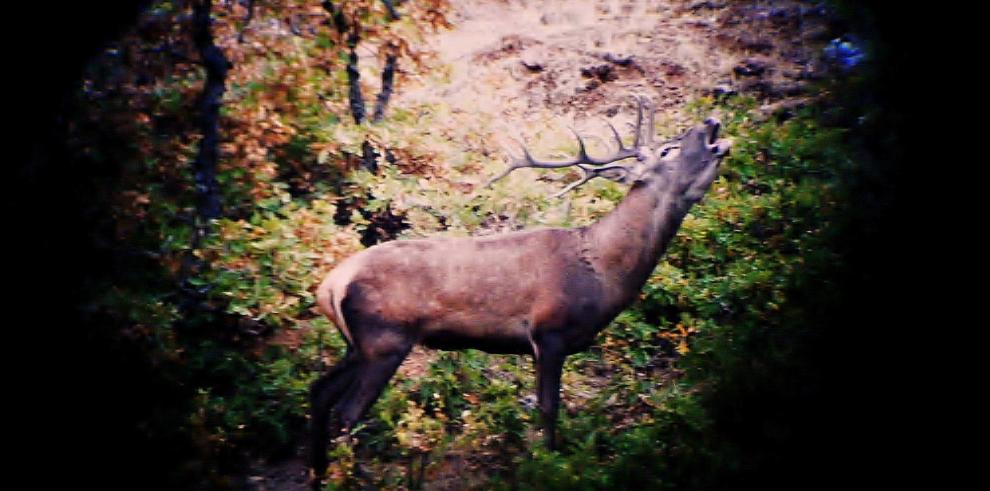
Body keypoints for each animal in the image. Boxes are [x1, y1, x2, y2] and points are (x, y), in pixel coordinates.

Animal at [310, 96, 728, 484]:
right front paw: (550, 466)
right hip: (385, 338)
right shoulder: (549, 333)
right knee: (346, 413)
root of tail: (330, 284)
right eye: (668, 149)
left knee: (319, 391)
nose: (711, 121)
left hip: (358, 344)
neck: (603, 274)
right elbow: (549, 408)